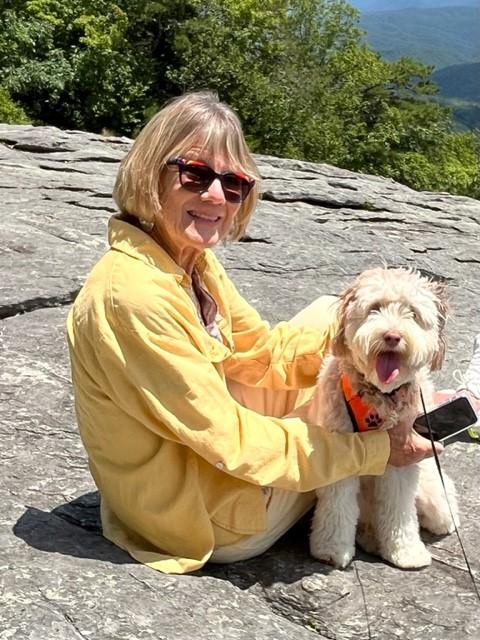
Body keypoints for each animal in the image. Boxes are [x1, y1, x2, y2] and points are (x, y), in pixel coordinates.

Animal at [304, 268, 458, 568]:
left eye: (412, 313)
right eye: (375, 308)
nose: (392, 336)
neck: (380, 394)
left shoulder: (403, 460)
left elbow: (399, 507)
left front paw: (405, 550)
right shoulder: (340, 450)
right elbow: (337, 505)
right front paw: (331, 547)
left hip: (431, 489)